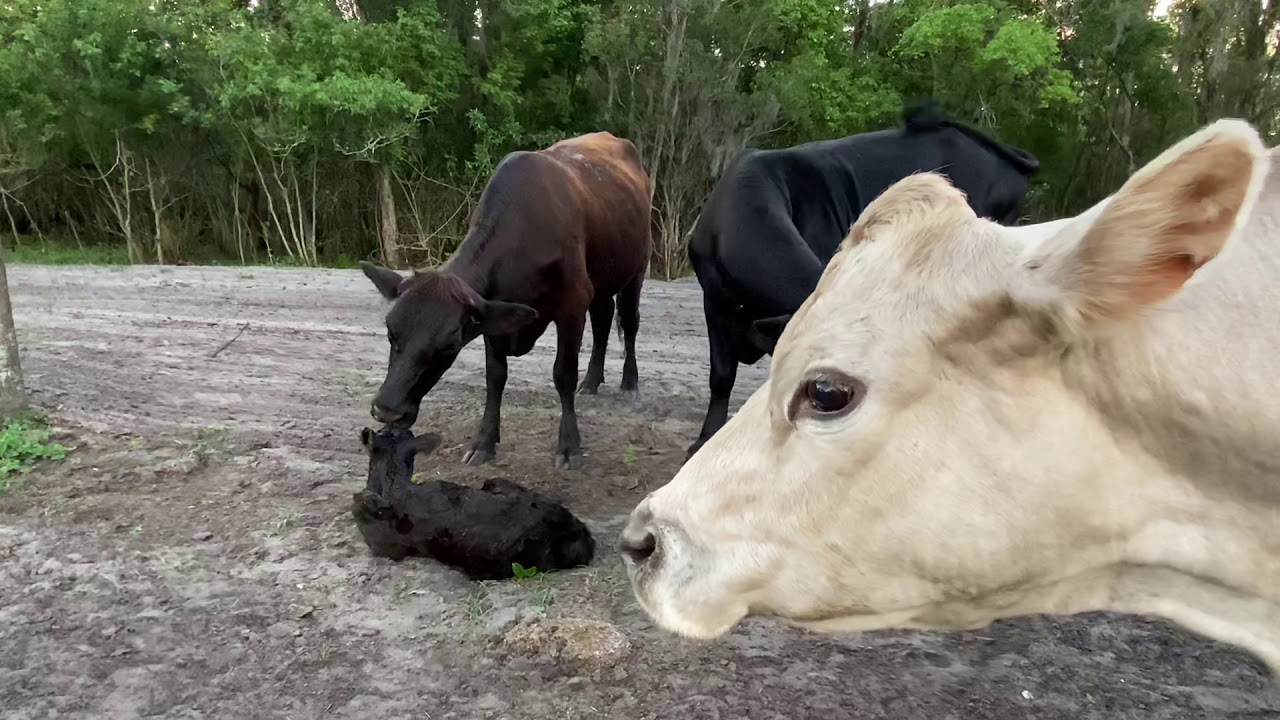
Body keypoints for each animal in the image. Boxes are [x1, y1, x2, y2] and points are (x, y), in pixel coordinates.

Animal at [360, 132, 652, 470]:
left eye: (448, 346)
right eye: (391, 332)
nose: (387, 411)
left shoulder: (572, 304)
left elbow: (563, 374)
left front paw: (569, 446)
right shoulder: (492, 314)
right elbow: (495, 377)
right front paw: (483, 442)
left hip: (637, 267)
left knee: (628, 323)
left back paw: (629, 384)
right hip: (602, 280)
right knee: (603, 319)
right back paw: (592, 381)